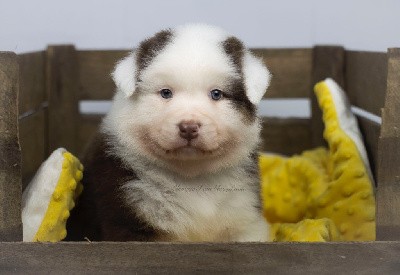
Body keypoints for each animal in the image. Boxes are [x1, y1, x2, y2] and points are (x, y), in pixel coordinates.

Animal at [66, 24, 272, 243]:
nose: (188, 127)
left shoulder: (246, 221)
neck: (192, 178)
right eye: (166, 93)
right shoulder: (126, 217)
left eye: (216, 94)